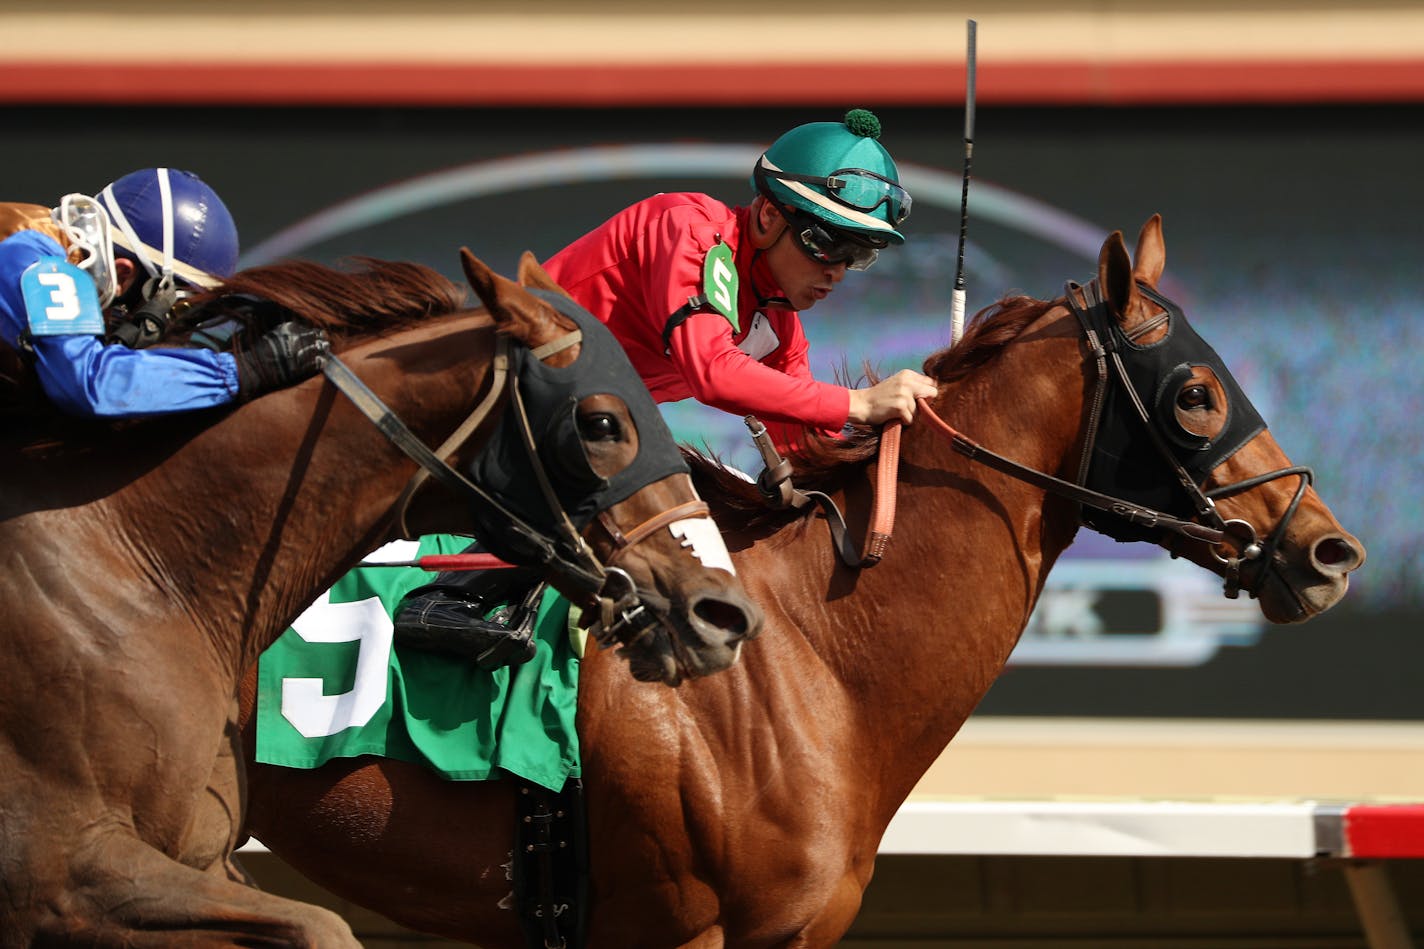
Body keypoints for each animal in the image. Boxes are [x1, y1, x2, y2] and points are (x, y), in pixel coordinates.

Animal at [0, 247, 757, 940]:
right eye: (601, 424)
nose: (721, 612)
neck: (141, 559)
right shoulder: (65, 875)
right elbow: (324, 925)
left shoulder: (200, 858)